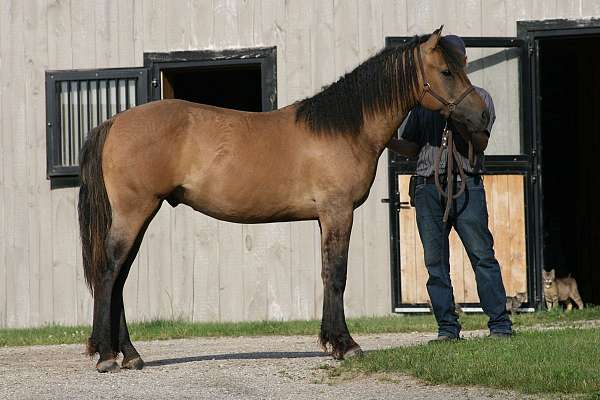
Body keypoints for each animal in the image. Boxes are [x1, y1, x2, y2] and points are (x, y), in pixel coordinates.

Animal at [78, 27, 488, 372]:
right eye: (446, 71)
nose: (482, 116)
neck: (342, 129)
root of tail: (113, 122)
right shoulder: (338, 212)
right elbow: (336, 274)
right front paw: (346, 345)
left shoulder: (326, 217)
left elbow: (327, 273)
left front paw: (333, 342)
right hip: (134, 212)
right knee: (109, 272)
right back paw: (106, 355)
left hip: (139, 215)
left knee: (120, 276)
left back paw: (129, 354)